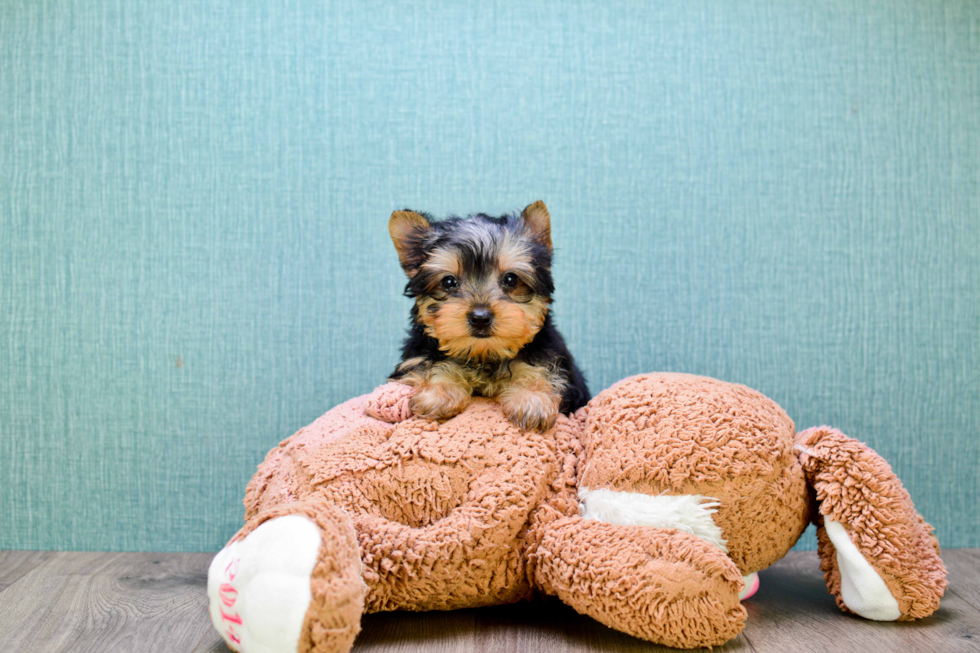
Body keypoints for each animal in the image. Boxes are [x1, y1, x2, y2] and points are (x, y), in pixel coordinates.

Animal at [388, 201, 588, 430]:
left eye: (510, 279)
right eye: (448, 282)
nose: (480, 318)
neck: (484, 354)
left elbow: (537, 369)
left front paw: (532, 399)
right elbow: (431, 365)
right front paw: (439, 391)